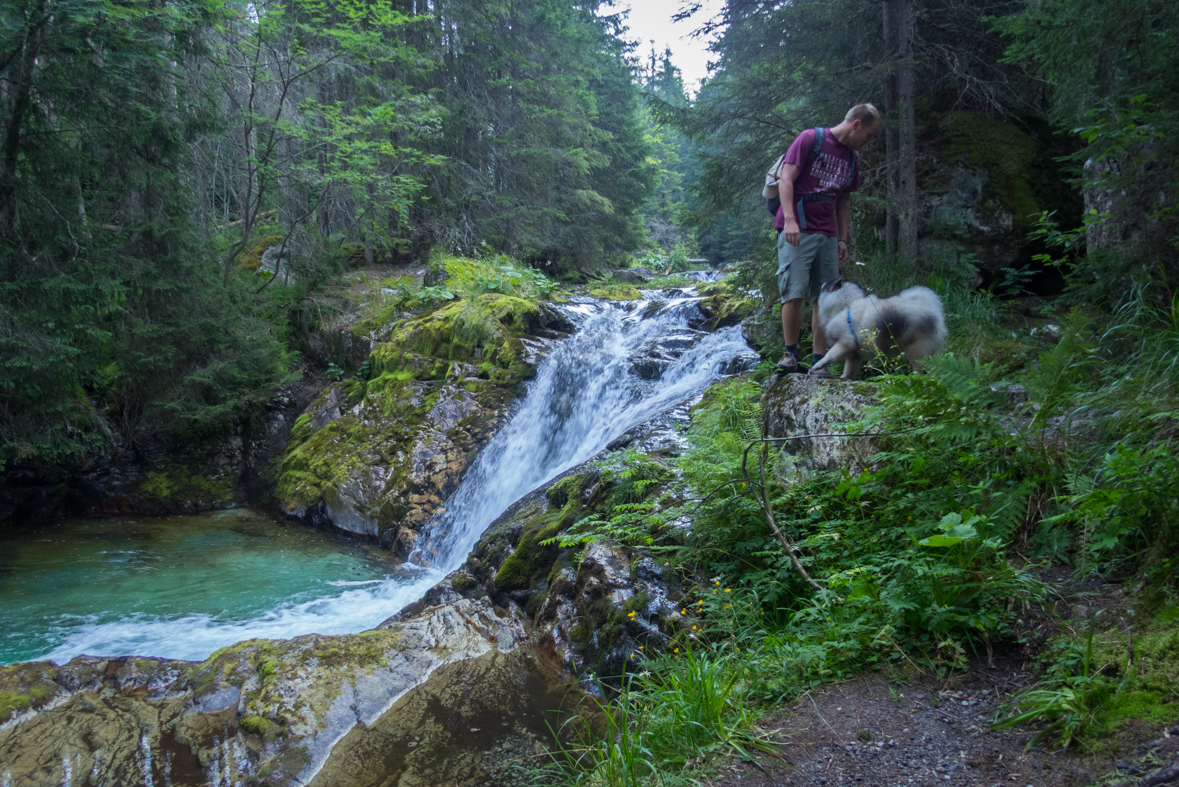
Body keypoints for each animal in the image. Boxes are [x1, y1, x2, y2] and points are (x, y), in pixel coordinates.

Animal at [811, 279, 947, 381]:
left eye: (826, 285)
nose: (822, 282)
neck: (845, 305)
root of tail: (932, 309)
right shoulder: (853, 353)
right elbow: (849, 367)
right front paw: (845, 377)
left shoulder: (844, 343)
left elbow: (829, 355)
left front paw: (818, 365)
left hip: (915, 349)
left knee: (920, 368)